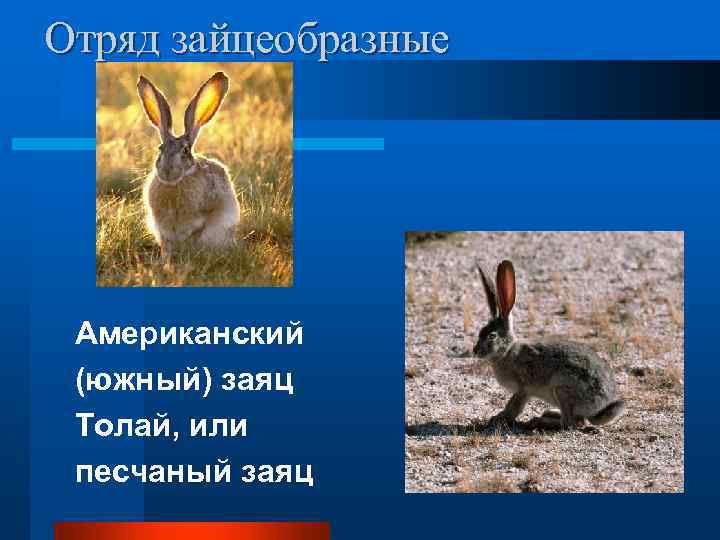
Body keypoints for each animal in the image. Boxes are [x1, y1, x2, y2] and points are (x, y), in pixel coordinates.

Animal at [137, 71, 240, 258]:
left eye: (185, 150)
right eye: (160, 149)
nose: (167, 172)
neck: (174, 184)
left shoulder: (202, 219)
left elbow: (195, 234)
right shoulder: (161, 228)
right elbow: (166, 243)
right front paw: (166, 259)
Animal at [473, 260, 625, 430]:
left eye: (492, 336)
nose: (475, 351)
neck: (507, 352)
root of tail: (599, 406)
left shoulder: (523, 389)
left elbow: (514, 406)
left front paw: (498, 419)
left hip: (562, 389)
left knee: (570, 424)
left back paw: (539, 421)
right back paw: (549, 413)